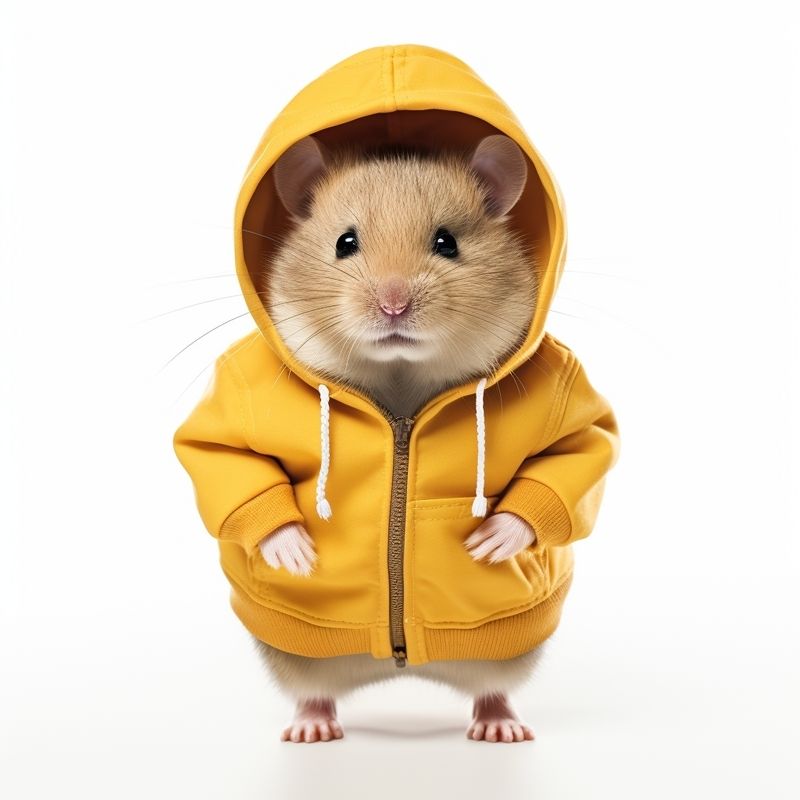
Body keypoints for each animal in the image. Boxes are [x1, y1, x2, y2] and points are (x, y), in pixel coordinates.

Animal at [253, 134, 543, 743]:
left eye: (446, 242)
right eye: (345, 242)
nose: (393, 306)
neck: (399, 376)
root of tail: (399, 663)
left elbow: (566, 460)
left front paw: (487, 544)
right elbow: (242, 467)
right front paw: (299, 555)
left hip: (507, 652)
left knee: (492, 689)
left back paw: (500, 729)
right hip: (294, 656)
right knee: (313, 692)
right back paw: (311, 730)